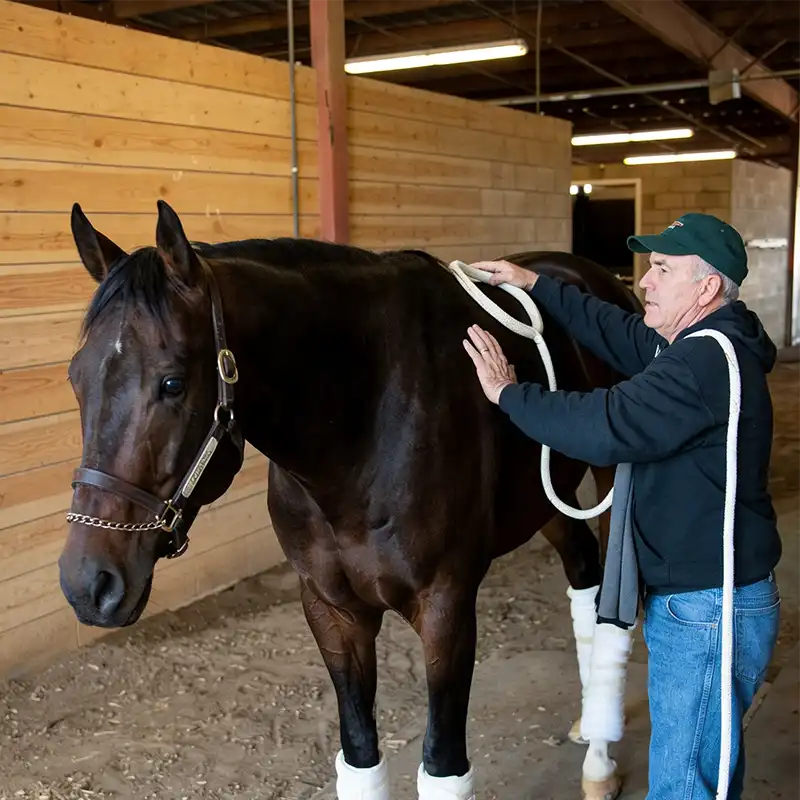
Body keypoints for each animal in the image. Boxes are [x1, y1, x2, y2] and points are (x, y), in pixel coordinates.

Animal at [58, 199, 640, 800]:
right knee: (582, 575)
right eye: (76, 378)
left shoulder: (447, 607)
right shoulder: (332, 611)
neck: (362, 425)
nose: (89, 585)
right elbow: (360, 755)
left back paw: (599, 764)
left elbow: (442, 764)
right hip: (546, 500)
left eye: (172, 383)